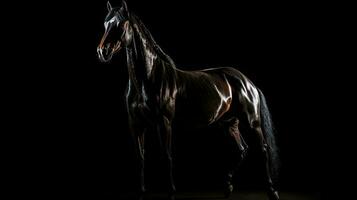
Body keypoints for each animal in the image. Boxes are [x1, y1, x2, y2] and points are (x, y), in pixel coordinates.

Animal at [96, 1, 278, 198]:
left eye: (121, 24)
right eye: (105, 24)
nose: (102, 51)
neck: (148, 79)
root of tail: (248, 82)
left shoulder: (164, 122)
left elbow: (166, 156)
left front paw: (171, 192)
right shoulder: (136, 123)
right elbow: (140, 157)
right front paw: (142, 193)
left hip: (252, 122)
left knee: (263, 149)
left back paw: (272, 191)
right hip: (229, 123)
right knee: (242, 149)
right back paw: (228, 187)